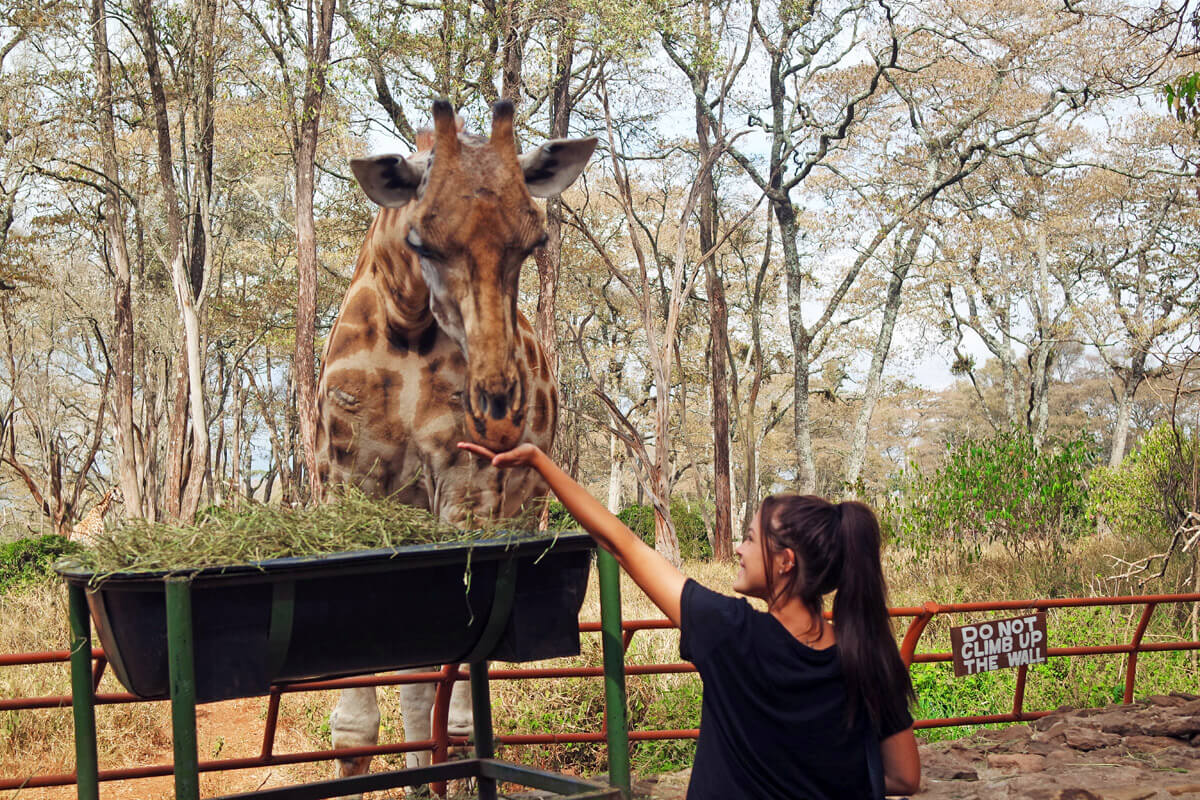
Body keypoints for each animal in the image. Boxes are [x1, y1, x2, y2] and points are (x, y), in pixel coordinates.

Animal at [316, 101, 597, 796]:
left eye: (535, 243)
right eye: (421, 242)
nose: (497, 407)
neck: (409, 323)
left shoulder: (466, 487)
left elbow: (458, 689)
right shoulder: (349, 486)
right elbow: (356, 723)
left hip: (519, 512)